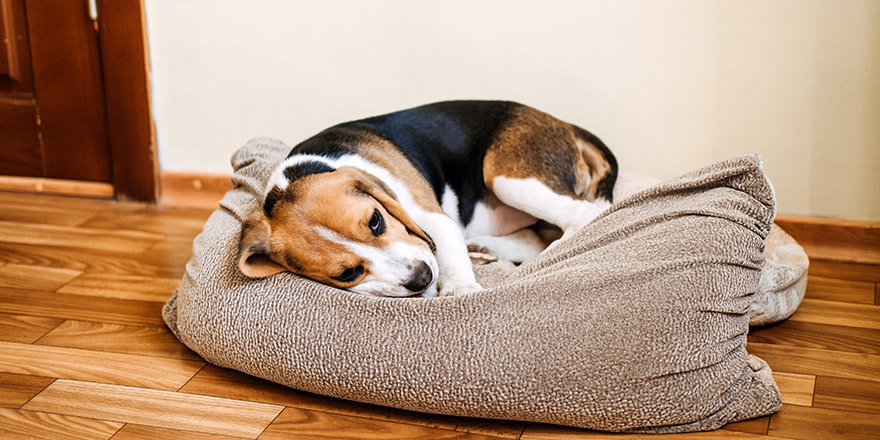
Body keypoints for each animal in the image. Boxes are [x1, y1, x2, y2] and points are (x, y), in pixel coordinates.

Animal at [237, 101, 616, 298]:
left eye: (375, 221)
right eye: (348, 273)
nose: (421, 277)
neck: (297, 174)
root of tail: (566, 125)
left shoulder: (431, 216)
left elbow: (446, 248)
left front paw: (460, 289)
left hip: (507, 177)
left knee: (583, 216)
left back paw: (555, 254)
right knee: (538, 235)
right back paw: (486, 248)